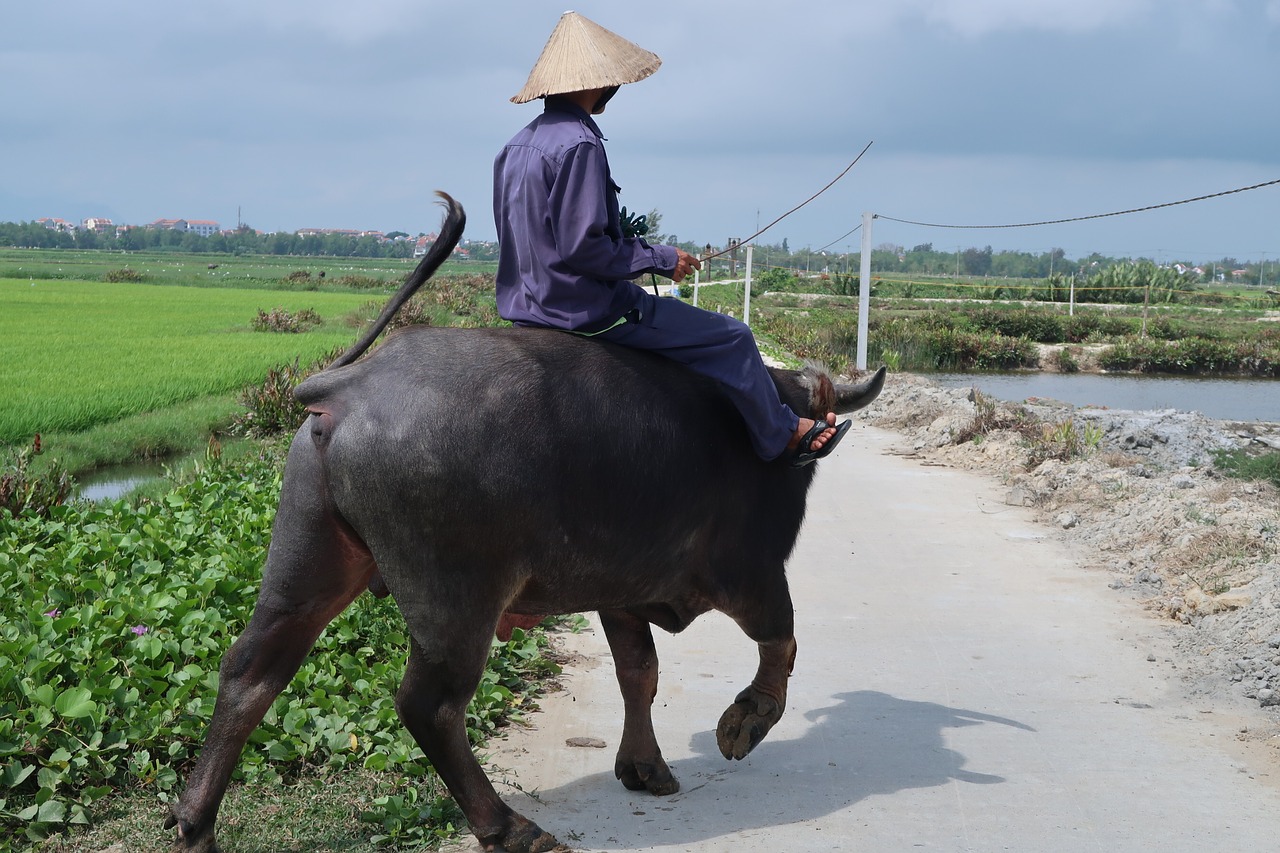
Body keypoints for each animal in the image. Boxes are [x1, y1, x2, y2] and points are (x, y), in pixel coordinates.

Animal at [170, 194, 885, 850]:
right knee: (429, 706)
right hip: (456, 599)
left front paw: (644, 767)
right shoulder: (751, 570)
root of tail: (346, 390)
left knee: (250, 671)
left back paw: (196, 827)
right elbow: (781, 638)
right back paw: (508, 826)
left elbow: (640, 673)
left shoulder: (621, 587)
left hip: (307, 560)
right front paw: (746, 722)